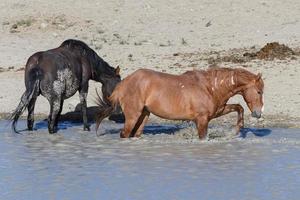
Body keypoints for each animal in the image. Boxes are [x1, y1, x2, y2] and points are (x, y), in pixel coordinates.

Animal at [96, 67, 264, 139]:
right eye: (259, 91)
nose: (258, 113)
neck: (210, 87)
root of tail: (123, 84)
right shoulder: (202, 120)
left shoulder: (216, 112)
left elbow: (239, 107)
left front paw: (237, 129)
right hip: (133, 116)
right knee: (124, 134)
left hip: (143, 115)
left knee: (134, 134)